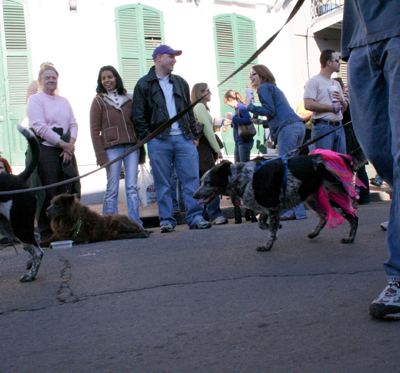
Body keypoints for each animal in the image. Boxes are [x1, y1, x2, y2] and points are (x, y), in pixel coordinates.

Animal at [0, 123, 43, 280]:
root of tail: (19, 177)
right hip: (9, 227)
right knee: (35, 240)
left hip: (18, 225)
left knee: (38, 251)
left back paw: (30, 275)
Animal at [193, 149, 366, 253]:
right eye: (200, 181)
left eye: (208, 182)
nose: (194, 196)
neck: (244, 177)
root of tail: (343, 157)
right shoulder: (267, 209)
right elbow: (263, 224)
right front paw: (274, 228)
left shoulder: (273, 208)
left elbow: (271, 231)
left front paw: (267, 245)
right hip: (311, 198)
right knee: (324, 217)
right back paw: (314, 233)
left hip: (333, 200)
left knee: (354, 218)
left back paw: (350, 238)